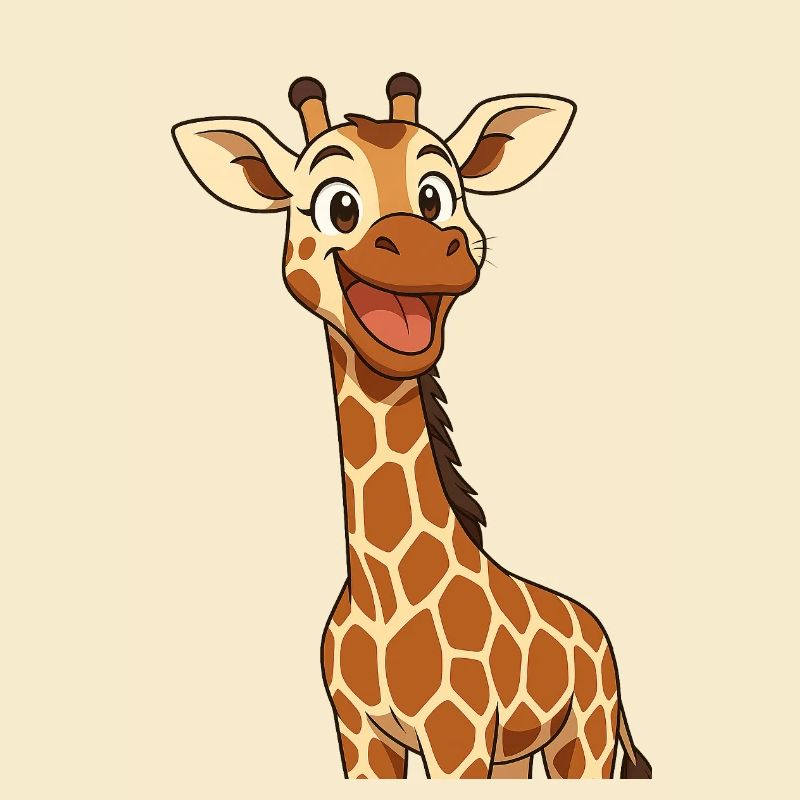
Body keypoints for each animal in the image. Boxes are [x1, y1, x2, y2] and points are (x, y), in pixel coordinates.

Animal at [172, 73, 652, 780]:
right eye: (337, 205)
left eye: (436, 196)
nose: (429, 246)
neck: (381, 596)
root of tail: (597, 628)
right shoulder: (359, 734)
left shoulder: (459, 735)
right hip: (519, 752)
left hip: (585, 735)